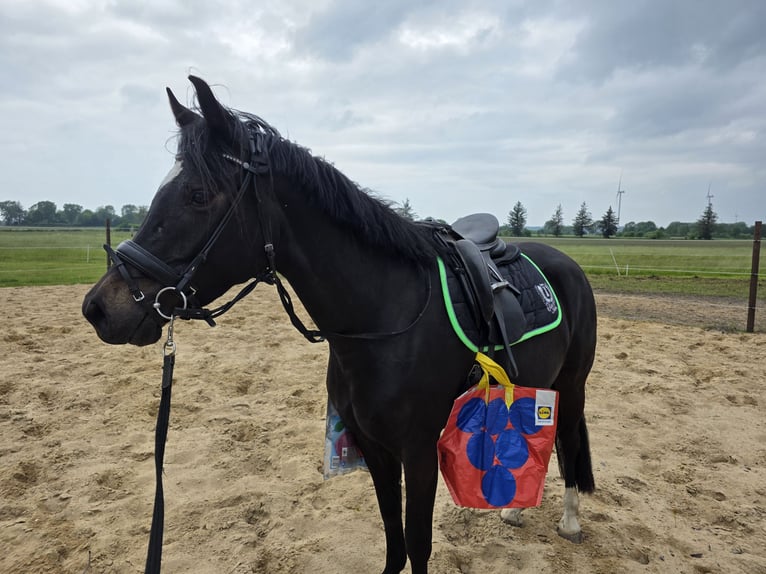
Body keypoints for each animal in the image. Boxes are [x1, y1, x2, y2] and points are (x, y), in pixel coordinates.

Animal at [82, 75, 596, 574]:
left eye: (198, 194)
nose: (99, 307)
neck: (386, 319)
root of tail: (566, 264)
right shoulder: (375, 446)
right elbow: (393, 540)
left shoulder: (418, 451)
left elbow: (418, 544)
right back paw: (515, 511)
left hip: (571, 385)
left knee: (569, 441)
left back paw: (570, 523)